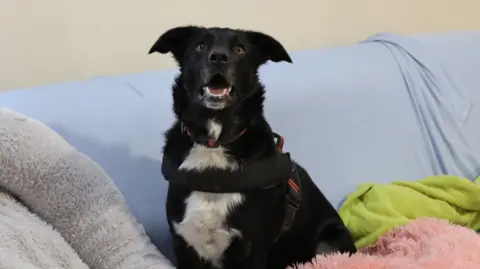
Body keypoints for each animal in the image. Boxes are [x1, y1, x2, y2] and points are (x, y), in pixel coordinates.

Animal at [150, 25, 356, 268]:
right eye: (200, 46)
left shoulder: (251, 249)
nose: (218, 57)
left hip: (329, 245)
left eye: (240, 49)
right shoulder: (184, 245)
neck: (215, 143)